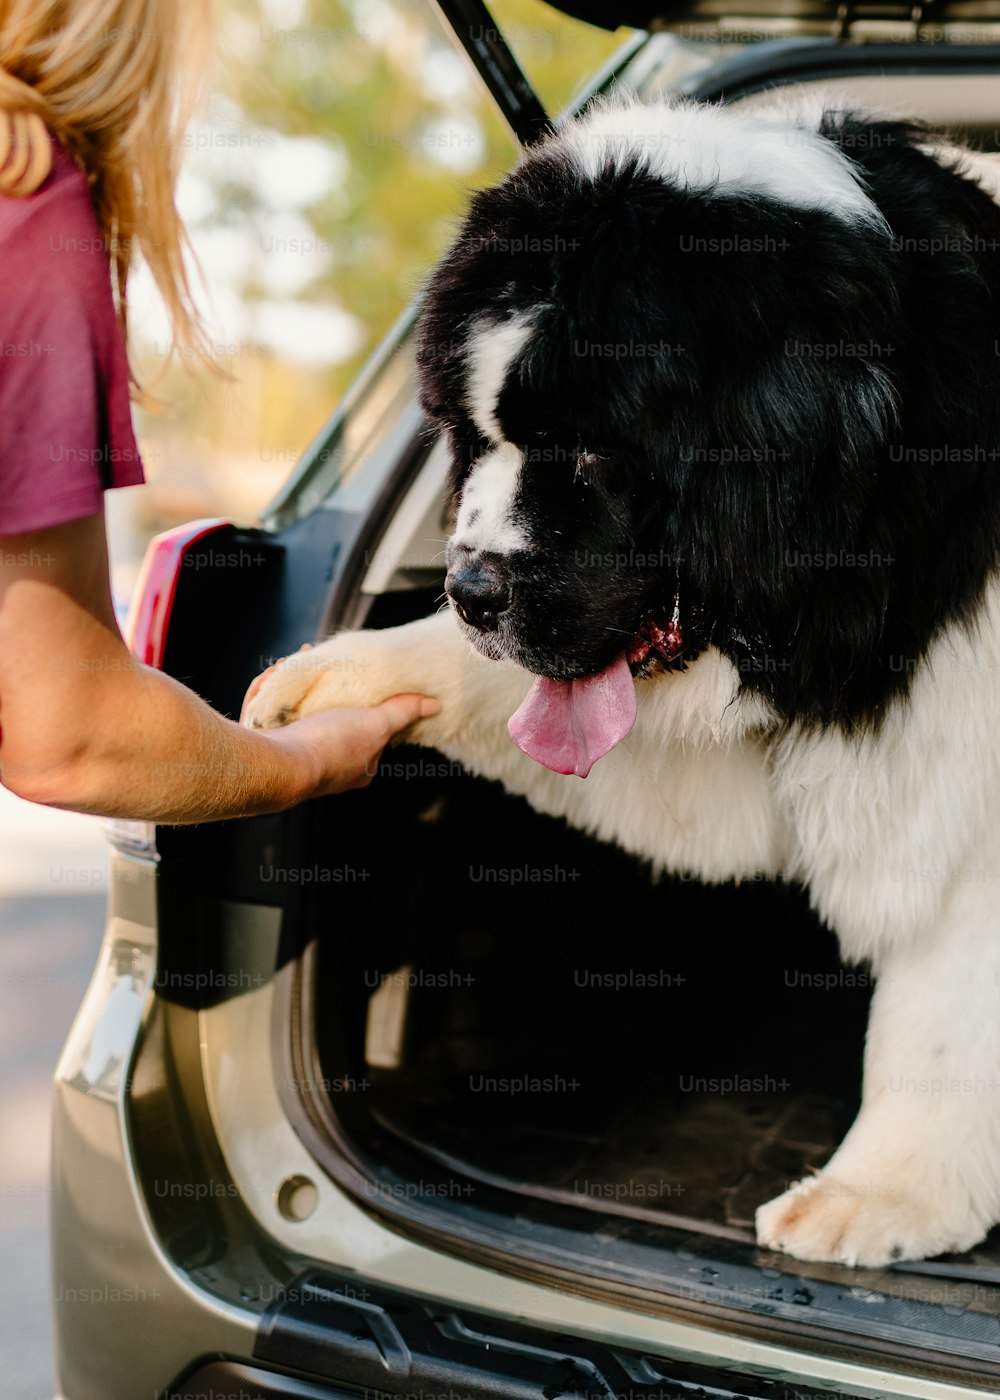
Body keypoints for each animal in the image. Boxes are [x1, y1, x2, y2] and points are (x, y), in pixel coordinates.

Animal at [243, 98, 1000, 1271]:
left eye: (593, 453)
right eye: (472, 439)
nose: (469, 586)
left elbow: (949, 1005)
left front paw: (882, 1190)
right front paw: (344, 674)